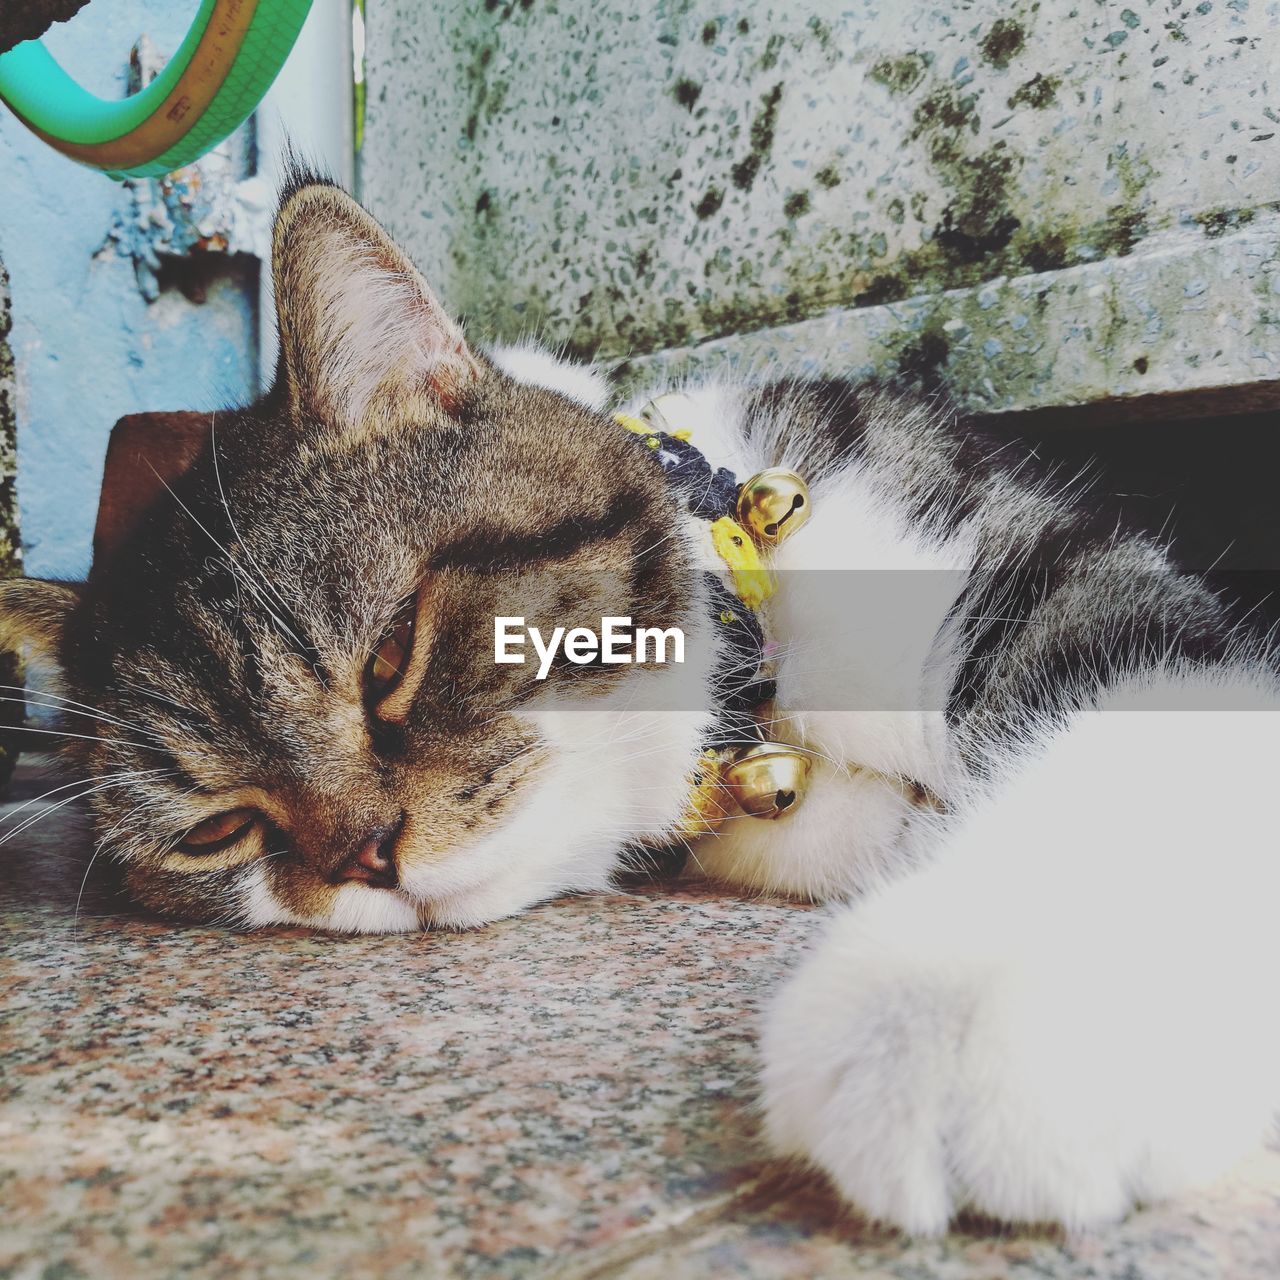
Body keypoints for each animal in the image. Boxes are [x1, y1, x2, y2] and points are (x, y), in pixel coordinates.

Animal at [2, 175, 1280, 1233]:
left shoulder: (1050, 573)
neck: (762, 708)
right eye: (219, 827)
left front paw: (956, 1012)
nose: (364, 854)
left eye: (391, 653)